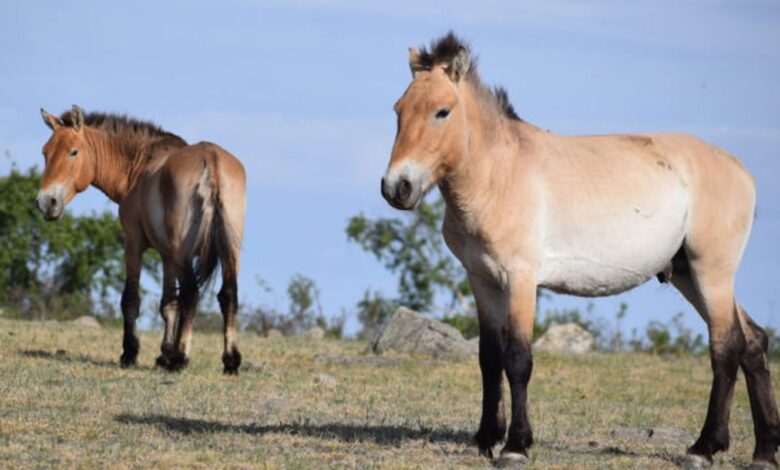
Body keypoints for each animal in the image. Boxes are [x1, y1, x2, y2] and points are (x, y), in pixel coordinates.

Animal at [37, 106, 246, 374]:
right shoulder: (167, 257)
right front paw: (164, 355)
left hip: (184, 254)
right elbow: (169, 304)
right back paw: (230, 361)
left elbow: (131, 300)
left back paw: (181, 358)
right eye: (45, 152)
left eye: (73, 151)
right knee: (228, 295)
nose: (46, 202)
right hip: (229, 252)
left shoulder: (134, 244)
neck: (139, 165)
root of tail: (211, 160)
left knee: (191, 293)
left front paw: (131, 353)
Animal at [381, 33, 780, 468]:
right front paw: (486, 439)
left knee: (726, 347)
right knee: (754, 341)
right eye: (398, 110)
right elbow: (489, 357)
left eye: (442, 111)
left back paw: (703, 448)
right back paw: (764, 452)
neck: (499, 174)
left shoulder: (520, 279)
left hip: (712, 272)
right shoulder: (482, 279)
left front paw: (516, 445)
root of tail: (740, 170)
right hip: (687, 275)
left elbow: (517, 359)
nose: (397, 187)